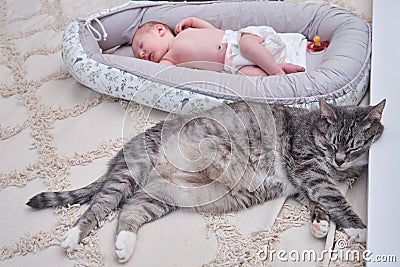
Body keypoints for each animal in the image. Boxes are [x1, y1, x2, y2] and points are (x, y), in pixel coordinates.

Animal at [27, 99, 384, 262]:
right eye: (332, 144)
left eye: (354, 147)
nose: (340, 160)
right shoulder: (307, 168)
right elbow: (333, 198)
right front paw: (360, 230)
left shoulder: (299, 183)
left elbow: (316, 202)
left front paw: (321, 224)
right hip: (130, 174)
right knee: (99, 206)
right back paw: (72, 237)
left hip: (159, 197)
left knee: (129, 212)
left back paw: (124, 246)